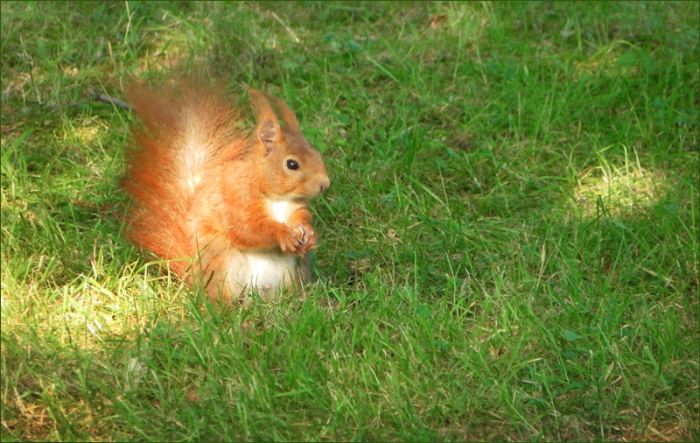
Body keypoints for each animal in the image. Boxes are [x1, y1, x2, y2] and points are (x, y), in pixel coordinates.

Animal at [121, 81, 330, 303]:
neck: (276, 196)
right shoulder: (236, 198)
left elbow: (301, 216)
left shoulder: (295, 205)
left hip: (294, 269)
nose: (325, 184)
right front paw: (282, 233)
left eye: (317, 153)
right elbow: (247, 229)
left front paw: (309, 233)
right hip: (223, 261)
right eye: (292, 164)